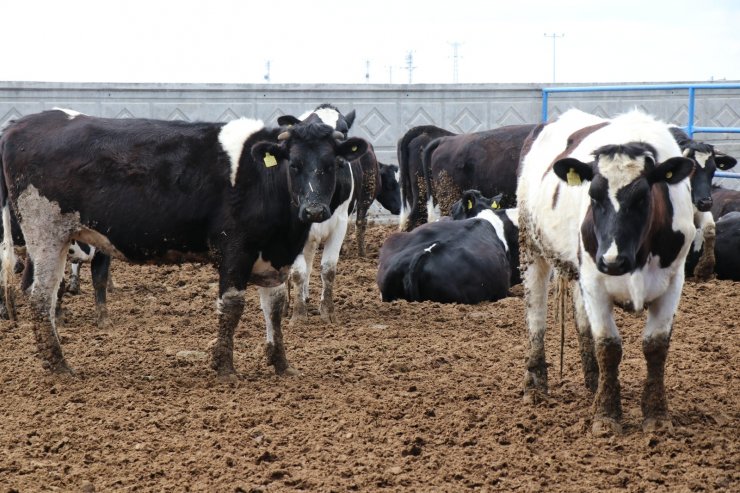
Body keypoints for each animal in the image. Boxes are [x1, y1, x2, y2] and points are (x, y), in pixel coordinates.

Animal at [0, 106, 368, 372]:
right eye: (294, 164)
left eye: (333, 163)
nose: (315, 210)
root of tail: (21, 124)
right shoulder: (234, 249)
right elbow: (231, 306)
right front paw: (224, 368)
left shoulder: (275, 255)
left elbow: (274, 308)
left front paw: (281, 366)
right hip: (45, 234)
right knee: (40, 297)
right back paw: (59, 367)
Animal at [516, 108, 696, 434]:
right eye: (594, 195)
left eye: (642, 197)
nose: (613, 261)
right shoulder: (596, 282)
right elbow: (608, 346)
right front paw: (606, 416)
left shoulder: (674, 282)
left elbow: (655, 347)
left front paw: (657, 416)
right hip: (532, 247)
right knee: (536, 316)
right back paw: (535, 385)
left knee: (581, 321)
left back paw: (593, 382)